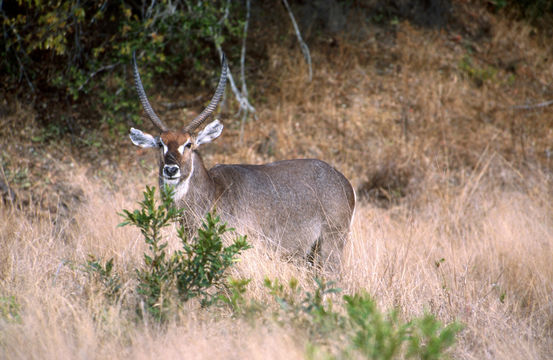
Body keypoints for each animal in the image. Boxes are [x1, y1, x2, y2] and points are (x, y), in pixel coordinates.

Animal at [129, 53, 354, 272]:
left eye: (189, 144)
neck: (212, 191)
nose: (170, 169)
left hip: (331, 244)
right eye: (160, 144)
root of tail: (344, 181)